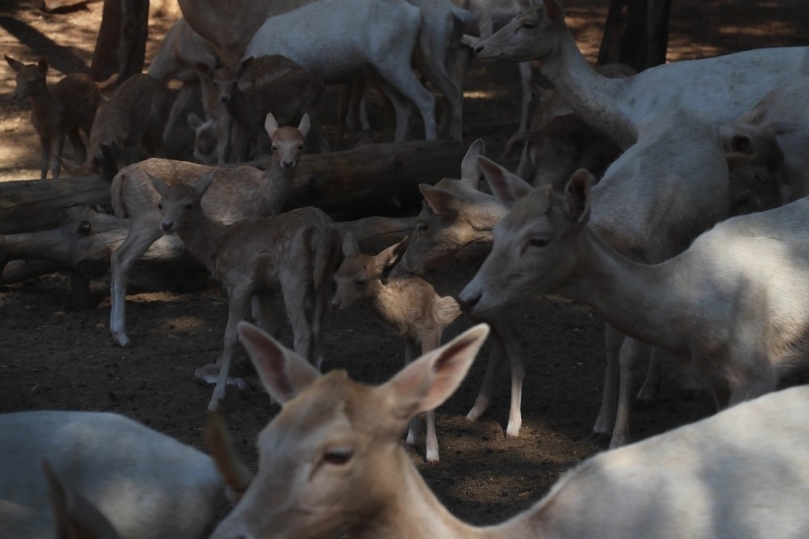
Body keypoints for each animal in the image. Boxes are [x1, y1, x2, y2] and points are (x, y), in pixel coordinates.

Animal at [150, 170, 340, 410]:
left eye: (188, 205)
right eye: (161, 204)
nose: (166, 224)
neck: (218, 246)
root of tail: (323, 228)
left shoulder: (240, 282)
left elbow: (230, 336)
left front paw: (216, 399)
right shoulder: (264, 288)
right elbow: (268, 332)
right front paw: (271, 396)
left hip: (292, 274)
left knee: (302, 332)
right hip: (325, 274)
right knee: (318, 327)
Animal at [330, 233, 458, 464]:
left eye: (361, 280)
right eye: (336, 277)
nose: (335, 303)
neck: (405, 313)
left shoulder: (431, 330)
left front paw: (432, 453)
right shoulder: (410, 338)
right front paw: (410, 439)